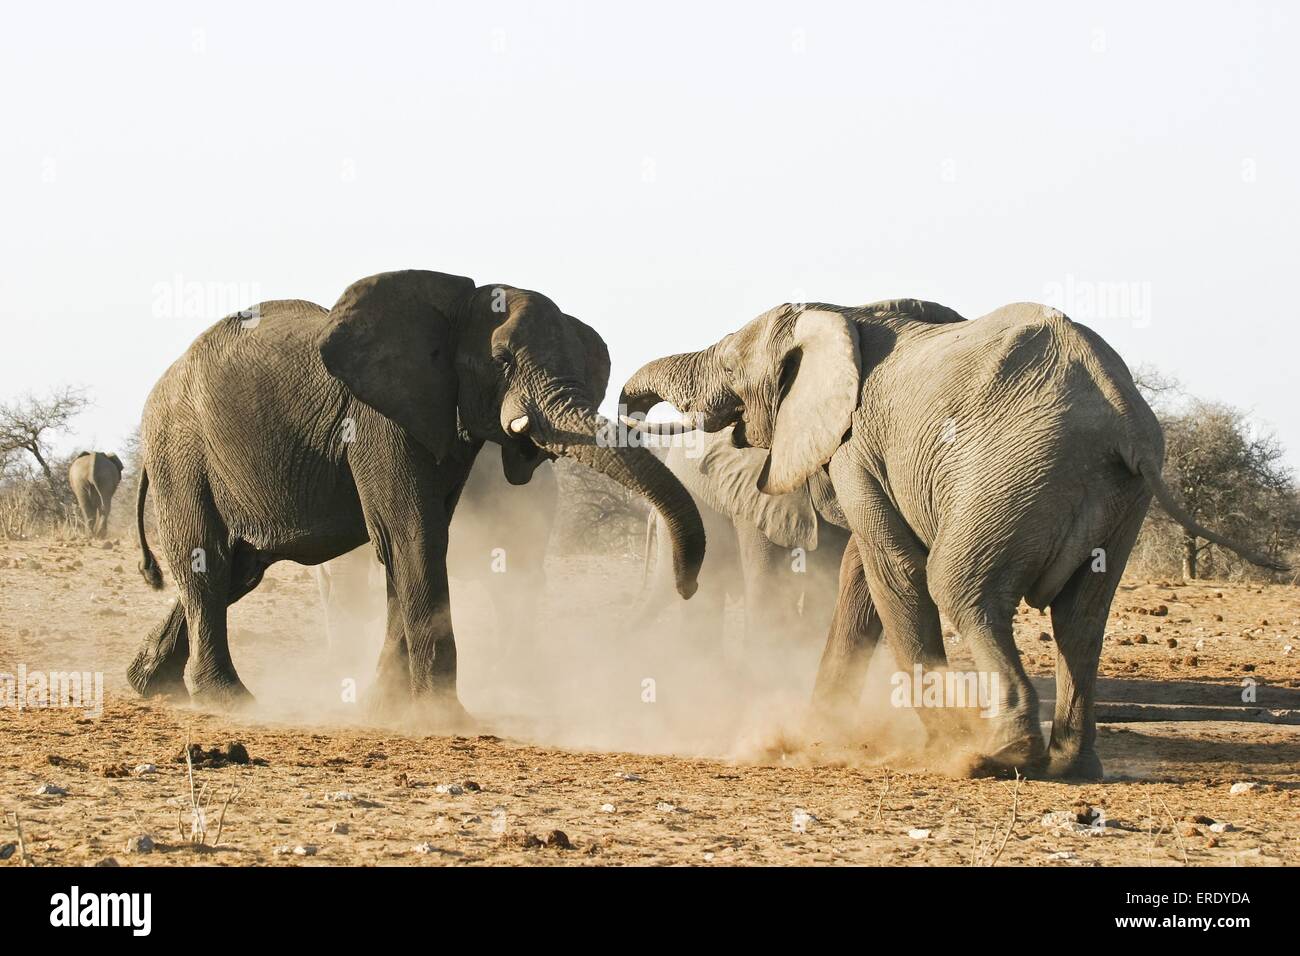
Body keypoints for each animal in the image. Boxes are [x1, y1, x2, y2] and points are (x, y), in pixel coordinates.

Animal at [126, 265, 707, 723]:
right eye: (502, 361)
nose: (687, 587)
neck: (454, 307)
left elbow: (410, 540)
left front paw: (386, 708)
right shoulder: (377, 418)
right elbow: (412, 536)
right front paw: (442, 716)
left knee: (240, 569)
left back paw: (149, 684)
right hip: (181, 448)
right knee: (207, 560)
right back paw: (227, 700)